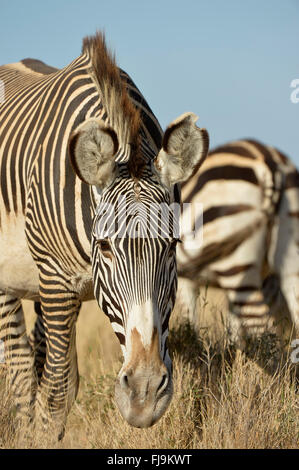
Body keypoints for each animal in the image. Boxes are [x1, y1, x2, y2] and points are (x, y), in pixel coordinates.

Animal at [0, 32, 210, 436]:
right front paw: (40, 439)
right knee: (18, 371)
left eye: (171, 246)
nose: (144, 393)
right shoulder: (56, 280)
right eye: (105, 246)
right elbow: (58, 390)